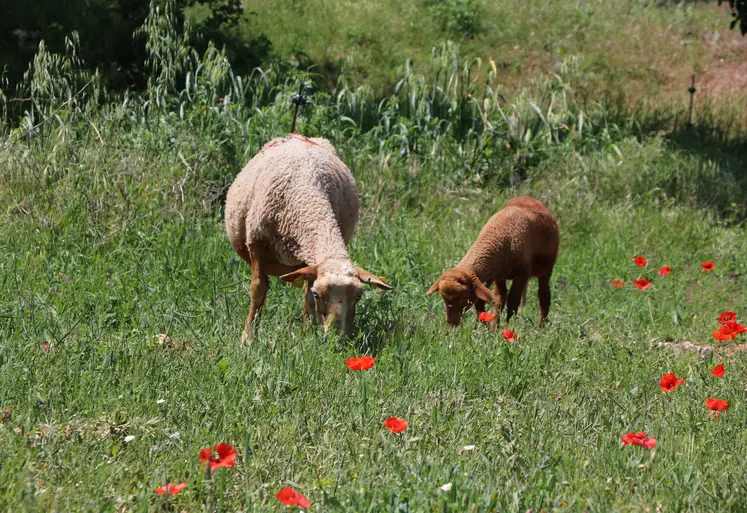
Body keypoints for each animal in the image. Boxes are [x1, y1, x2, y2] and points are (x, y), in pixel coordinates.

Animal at [225, 133, 392, 342]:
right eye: (319, 294)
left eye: (359, 296)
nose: (338, 339)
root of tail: (299, 135)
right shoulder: (257, 241)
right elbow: (258, 289)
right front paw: (248, 338)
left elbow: (307, 297)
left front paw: (307, 334)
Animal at [426, 196, 559, 329]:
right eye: (443, 298)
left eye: (463, 297)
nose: (451, 324)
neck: (497, 235)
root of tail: (529, 198)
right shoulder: (497, 276)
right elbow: (491, 300)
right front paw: (487, 327)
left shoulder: (522, 274)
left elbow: (513, 301)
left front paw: (507, 327)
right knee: (500, 297)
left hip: (546, 269)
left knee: (543, 296)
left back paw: (541, 327)